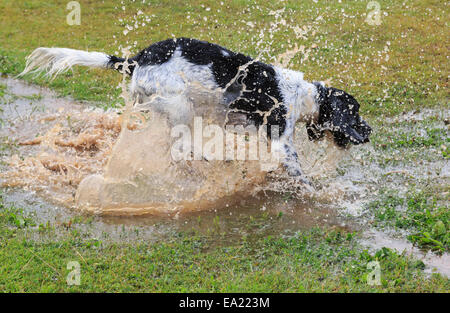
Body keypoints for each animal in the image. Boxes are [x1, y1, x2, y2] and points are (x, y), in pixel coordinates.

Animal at [20, 36, 372, 184]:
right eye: (355, 112)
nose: (369, 131)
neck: (303, 96)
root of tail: (135, 60)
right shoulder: (281, 142)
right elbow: (301, 176)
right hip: (180, 105)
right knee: (181, 149)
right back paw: (208, 161)